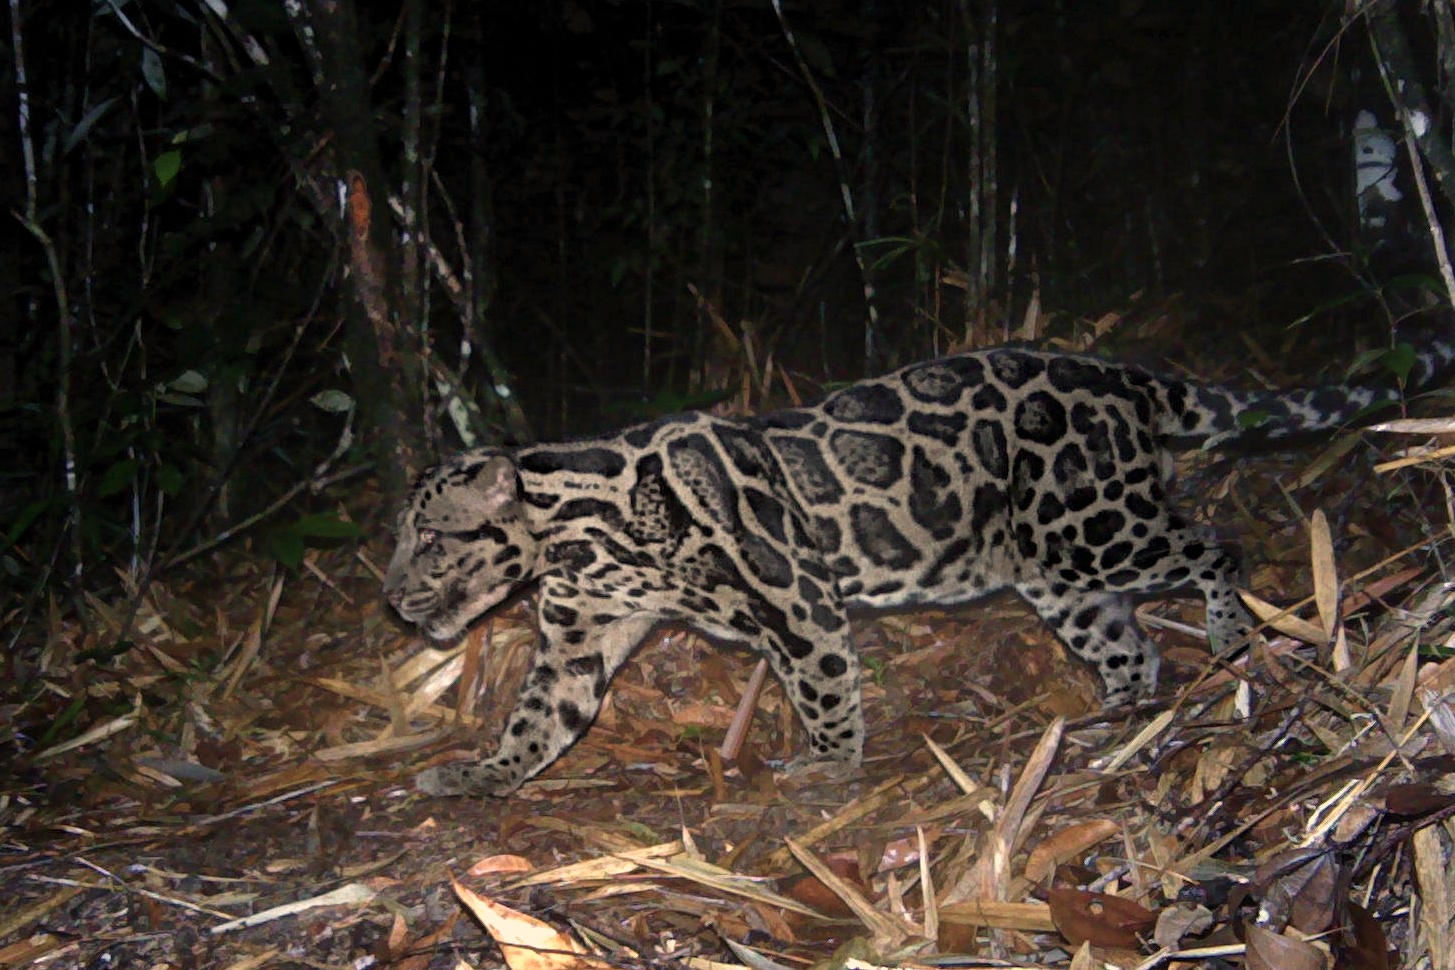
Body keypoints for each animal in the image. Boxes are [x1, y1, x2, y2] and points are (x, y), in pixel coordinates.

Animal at [384, 330, 1452, 797]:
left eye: (429, 538)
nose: (393, 598)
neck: (583, 529)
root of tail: (1123, 372)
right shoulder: (577, 640)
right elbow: (540, 720)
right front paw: (483, 772)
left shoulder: (796, 597)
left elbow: (823, 688)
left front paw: (825, 765)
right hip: (1054, 571)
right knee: (1129, 646)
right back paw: (1110, 720)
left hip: (1092, 523)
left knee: (1211, 545)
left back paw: (1230, 639)